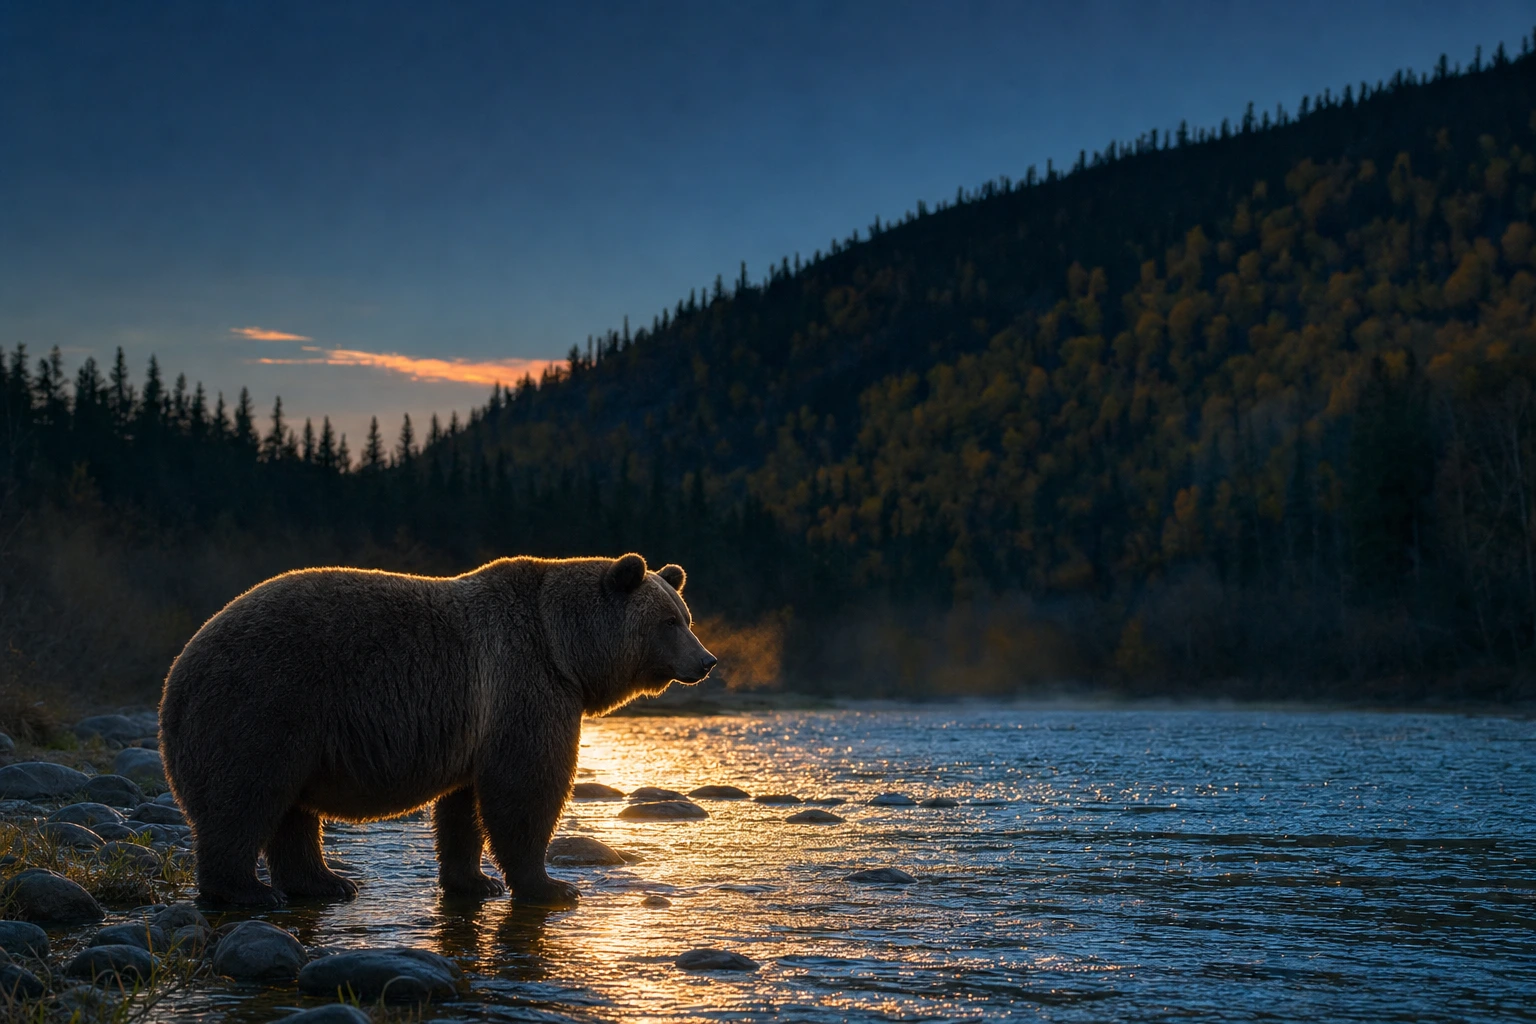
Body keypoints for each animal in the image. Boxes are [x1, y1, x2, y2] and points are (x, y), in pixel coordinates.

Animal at [158, 552, 715, 908]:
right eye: (669, 622)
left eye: (686, 617)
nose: (707, 660)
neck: (566, 651)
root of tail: (178, 671)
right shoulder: (527, 686)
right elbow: (527, 787)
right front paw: (551, 885)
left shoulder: (479, 722)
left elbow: (464, 807)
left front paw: (475, 881)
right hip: (264, 703)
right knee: (244, 797)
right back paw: (249, 891)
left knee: (290, 811)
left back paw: (325, 882)